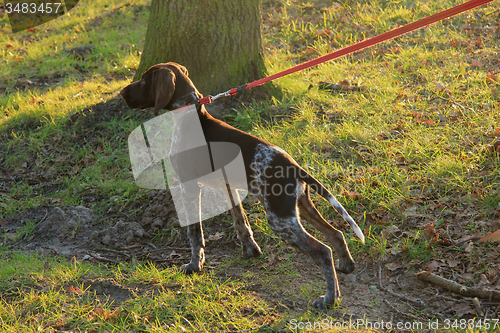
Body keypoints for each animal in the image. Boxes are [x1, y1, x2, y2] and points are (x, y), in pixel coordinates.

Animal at [120, 63, 364, 308]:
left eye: (144, 80)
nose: (122, 92)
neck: (190, 113)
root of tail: (294, 166)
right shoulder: (230, 187)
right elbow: (241, 222)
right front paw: (251, 250)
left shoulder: (189, 187)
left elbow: (194, 233)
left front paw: (194, 265)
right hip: (299, 208)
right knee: (336, 235)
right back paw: (347, 266)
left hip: (280, 220)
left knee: (323, 251)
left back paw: (329, 298)